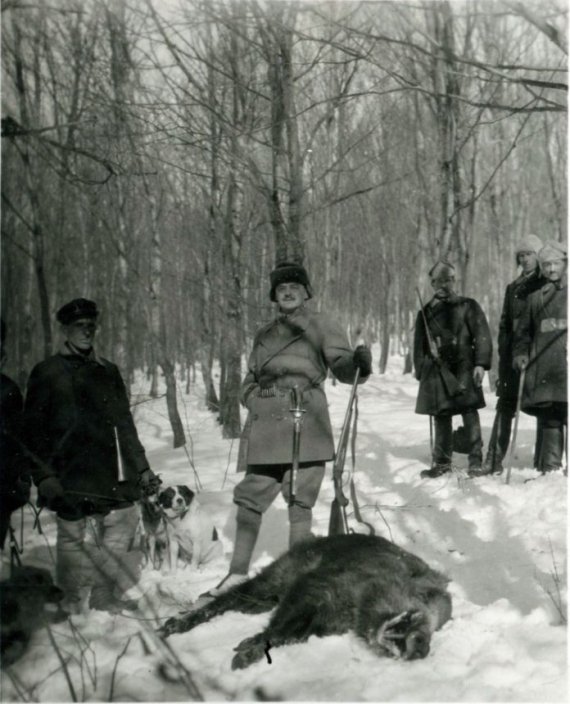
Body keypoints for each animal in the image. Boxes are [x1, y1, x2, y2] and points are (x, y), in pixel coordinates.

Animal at [158, 536, 450, 668]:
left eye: (437, 626)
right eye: (422, 598)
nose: (421, 648)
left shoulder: (322, 623)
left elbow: (288, 635)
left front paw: (245, 650)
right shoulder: (313, 587)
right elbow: (280, 626)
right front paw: (243, 655)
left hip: (266, 596)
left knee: (248, 603)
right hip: (277, 575)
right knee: (227, 598)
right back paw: (170, 626)